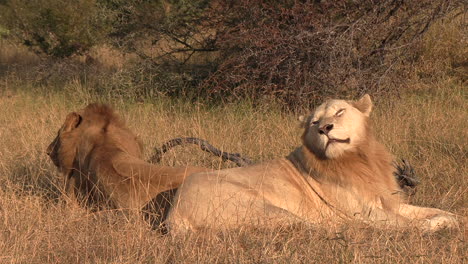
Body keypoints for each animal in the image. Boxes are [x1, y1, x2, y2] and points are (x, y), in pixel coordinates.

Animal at [166, 94, 458, 233]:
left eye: (339, 112)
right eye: (315, 122)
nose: (325, 129)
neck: (358, 160)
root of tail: (174, 212)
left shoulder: (388, 201)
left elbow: (429, 210)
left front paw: (454, 217)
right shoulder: (365, 211)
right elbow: (408, 222)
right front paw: (441, 224)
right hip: (264, 208)